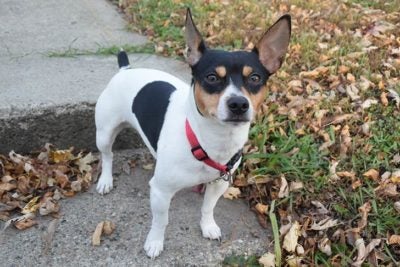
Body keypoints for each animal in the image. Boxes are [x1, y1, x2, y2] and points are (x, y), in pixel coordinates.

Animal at [97, 8, 290, 260]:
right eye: (211, 77)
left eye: (255, 78)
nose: (239, 103)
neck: (208, 141)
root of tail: (125, 70)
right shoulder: (160, 191)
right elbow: (161, 220)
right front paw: (155, 242)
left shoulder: (218, 184)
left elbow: (208, 207)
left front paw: (208, 226)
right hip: (104, 132)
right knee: (107, 155)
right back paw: (105, 180)